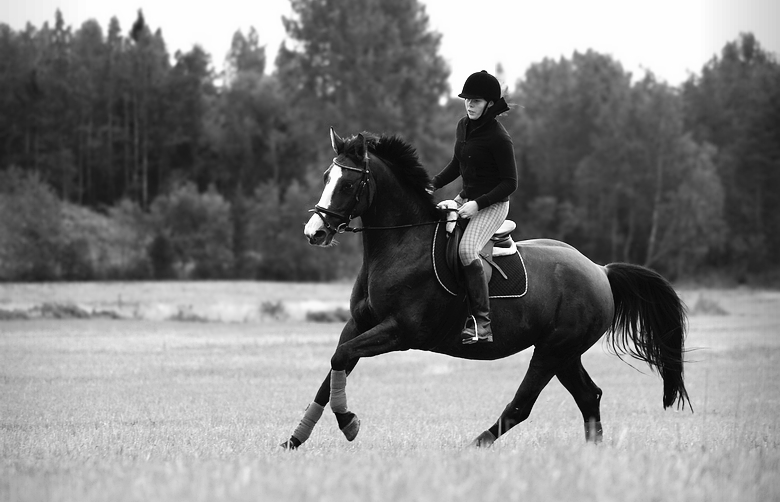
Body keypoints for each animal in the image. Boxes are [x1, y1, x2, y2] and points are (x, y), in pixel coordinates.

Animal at [280, 127, 688, 450]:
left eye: (348, 184)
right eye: (325, 177)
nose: (315, 232)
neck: (400, 244)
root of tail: (600, 271)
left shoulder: (400, 332)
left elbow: (341, 357)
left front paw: (348, 423)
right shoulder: (360, 324)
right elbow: (335, 366)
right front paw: (295, 439)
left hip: (553, 351)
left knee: (523, 405)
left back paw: (476, 444)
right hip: (565, 353)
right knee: (589, 396)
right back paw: (594, 453)